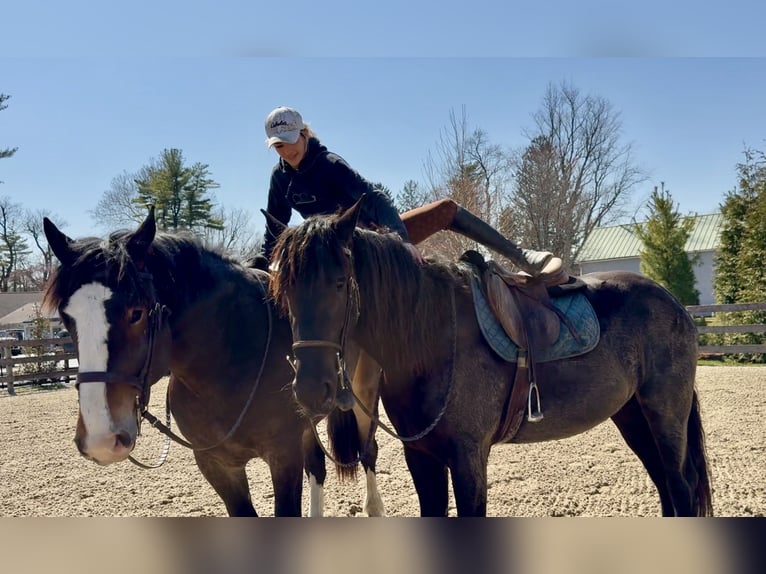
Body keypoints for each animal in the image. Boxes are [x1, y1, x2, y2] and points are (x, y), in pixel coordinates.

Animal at [41, 208, 385, 517]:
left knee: (367, 451)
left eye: (136, 313)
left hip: (363, 395)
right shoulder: (216, 466)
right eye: (66, 318)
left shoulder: (283, 457)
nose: (101, 438)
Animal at [268, 197, 713, 517]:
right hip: (631, 414)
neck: (431, 340)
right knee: (665, 484)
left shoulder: (468, 460)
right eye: (283, 289)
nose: (310, 388)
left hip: (665, 414)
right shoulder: (422, 459)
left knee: (680, 485)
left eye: (340, 283)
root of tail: (671, 301)